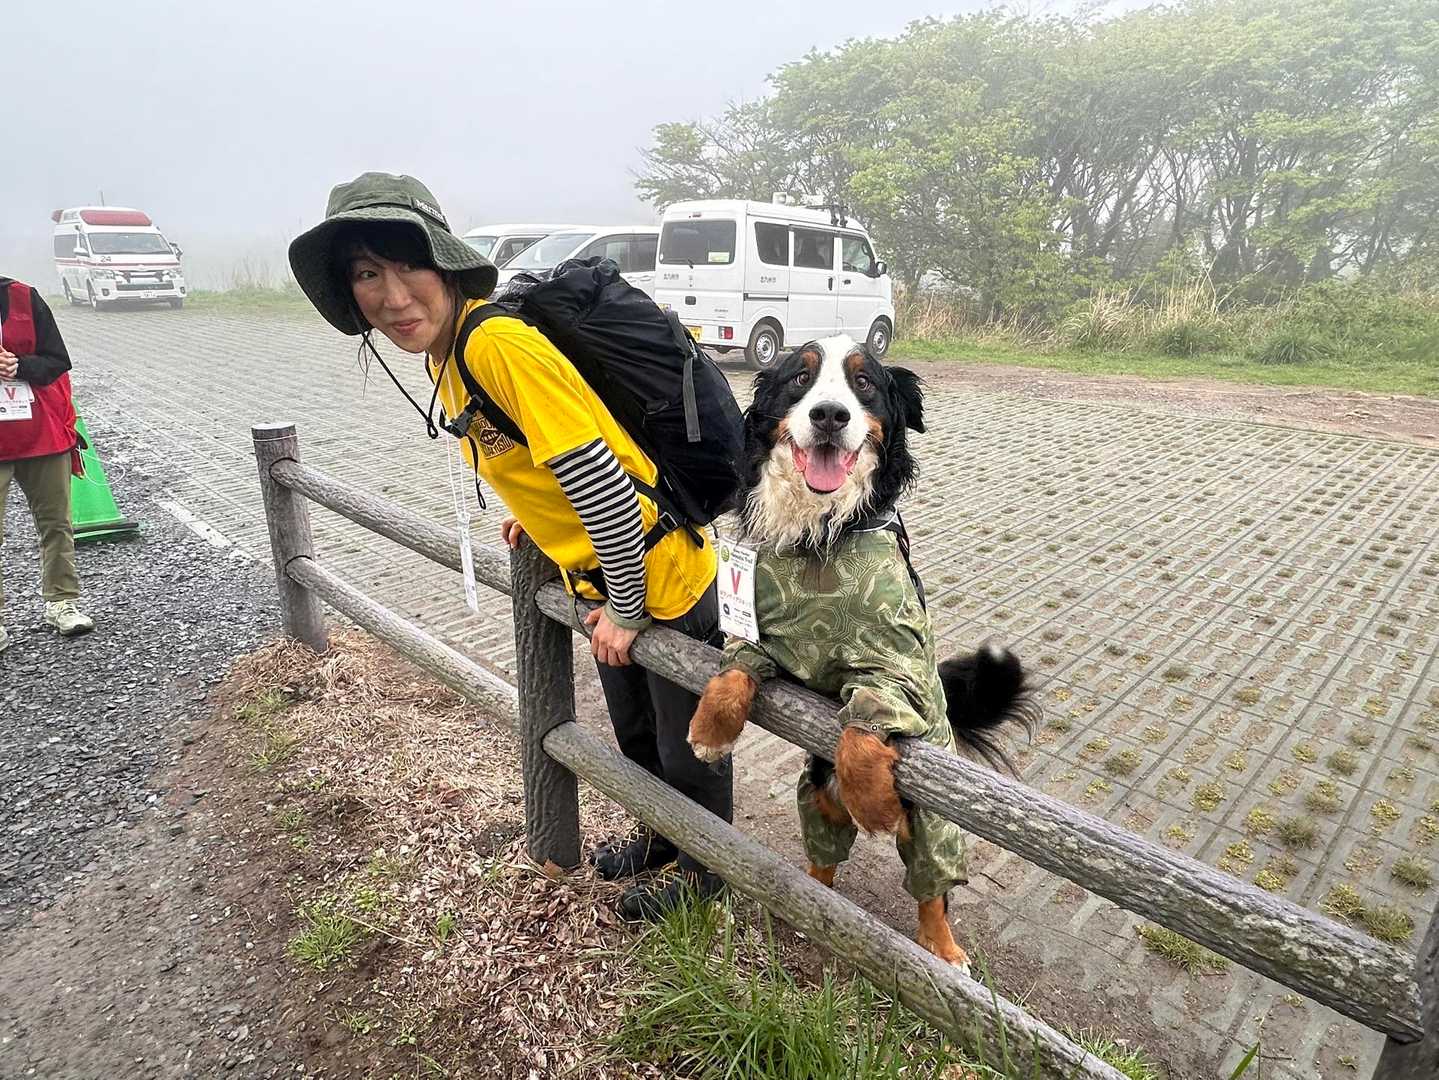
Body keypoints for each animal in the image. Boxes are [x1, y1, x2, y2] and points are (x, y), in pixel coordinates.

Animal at [687, 334, 1034, 971]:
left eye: (864, 383)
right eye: (800, 379)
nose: (830, 415)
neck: (822, 538)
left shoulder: (894, 662)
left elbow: (863, 725)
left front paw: (874, 802)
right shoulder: (763, 638)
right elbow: (732, 676)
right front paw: (708, 733)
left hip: (935, 830)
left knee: (932, 891)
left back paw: (944, 950)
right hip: (813, 798)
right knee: (824, 858)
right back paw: (805, 899)